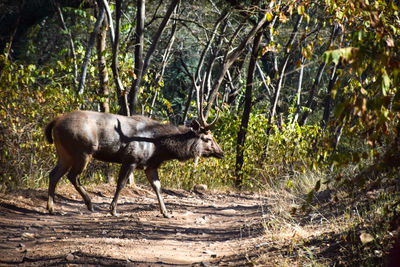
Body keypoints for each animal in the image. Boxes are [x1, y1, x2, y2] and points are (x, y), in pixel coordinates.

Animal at [44, 82, 225, 220]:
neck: (158, 148)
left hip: (64, 152)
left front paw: (166, 213)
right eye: (208, 138)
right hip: (82, 151)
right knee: (72, 176)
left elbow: (158, 187)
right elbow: (121, 184)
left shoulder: (150, 165)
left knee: (53, 174)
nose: (221, 153)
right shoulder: (131, 159)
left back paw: (51, 208)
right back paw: (89, 205)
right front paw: (113, 210)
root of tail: (56, 121)